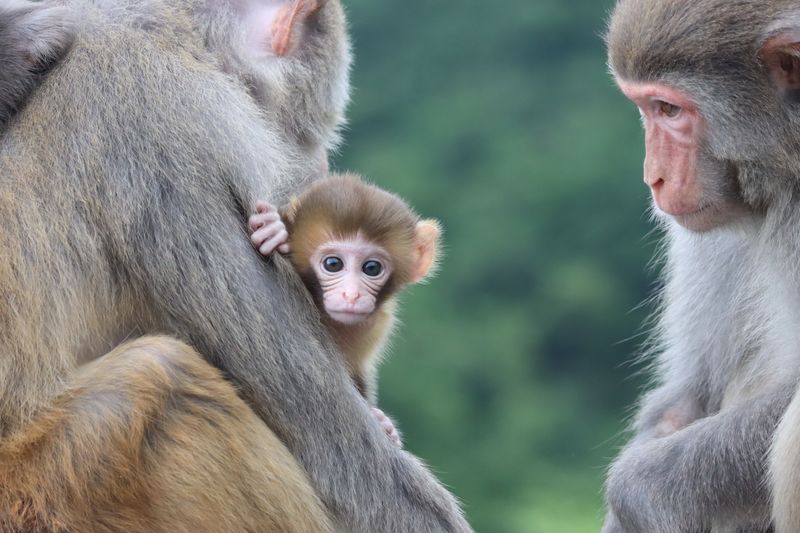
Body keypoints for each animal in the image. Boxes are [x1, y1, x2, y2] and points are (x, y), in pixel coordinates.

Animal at [247, 173, 442, 447]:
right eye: (333, 264)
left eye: (372, 268)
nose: (351, 295)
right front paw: (275, 229)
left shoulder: (375, 324)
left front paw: (385, 424)